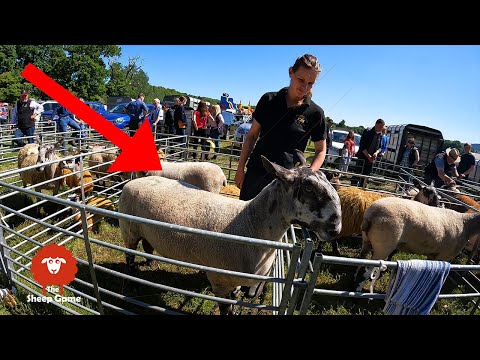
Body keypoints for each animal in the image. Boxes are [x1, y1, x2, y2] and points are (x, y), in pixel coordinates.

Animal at [118, 153, 344, 314]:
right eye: (308, 187)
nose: (336, 227)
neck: (250, 223)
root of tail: (133, 182)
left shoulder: (235, 283)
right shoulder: (221, 281)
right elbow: (226, 308)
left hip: (145, 228)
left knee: (147, 245)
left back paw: (150, 263)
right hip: (128, 229)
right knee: (129, 256)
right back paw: (130, 285)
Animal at [352, 197, 480, 290]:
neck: (467, 225)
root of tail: (371, 215)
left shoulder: (433, 255)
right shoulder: (444, 256)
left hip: (366, 241)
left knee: (361, 260)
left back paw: (354, 278)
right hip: (383, 246)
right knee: (367, 269)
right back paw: (358, 289)